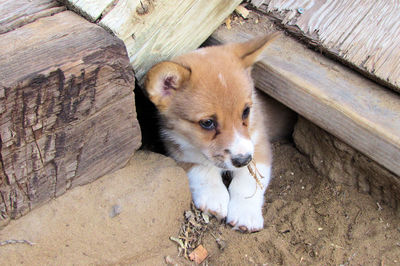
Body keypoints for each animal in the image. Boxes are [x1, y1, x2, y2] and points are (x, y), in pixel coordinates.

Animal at [145, 33, 280, 233]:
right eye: (207, 123)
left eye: (246, 111)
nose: (243, 160)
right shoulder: (177, 149)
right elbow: (202, 170)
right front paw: (214, 197)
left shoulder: (259, 144)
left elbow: (248, 181)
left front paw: (245, 214)